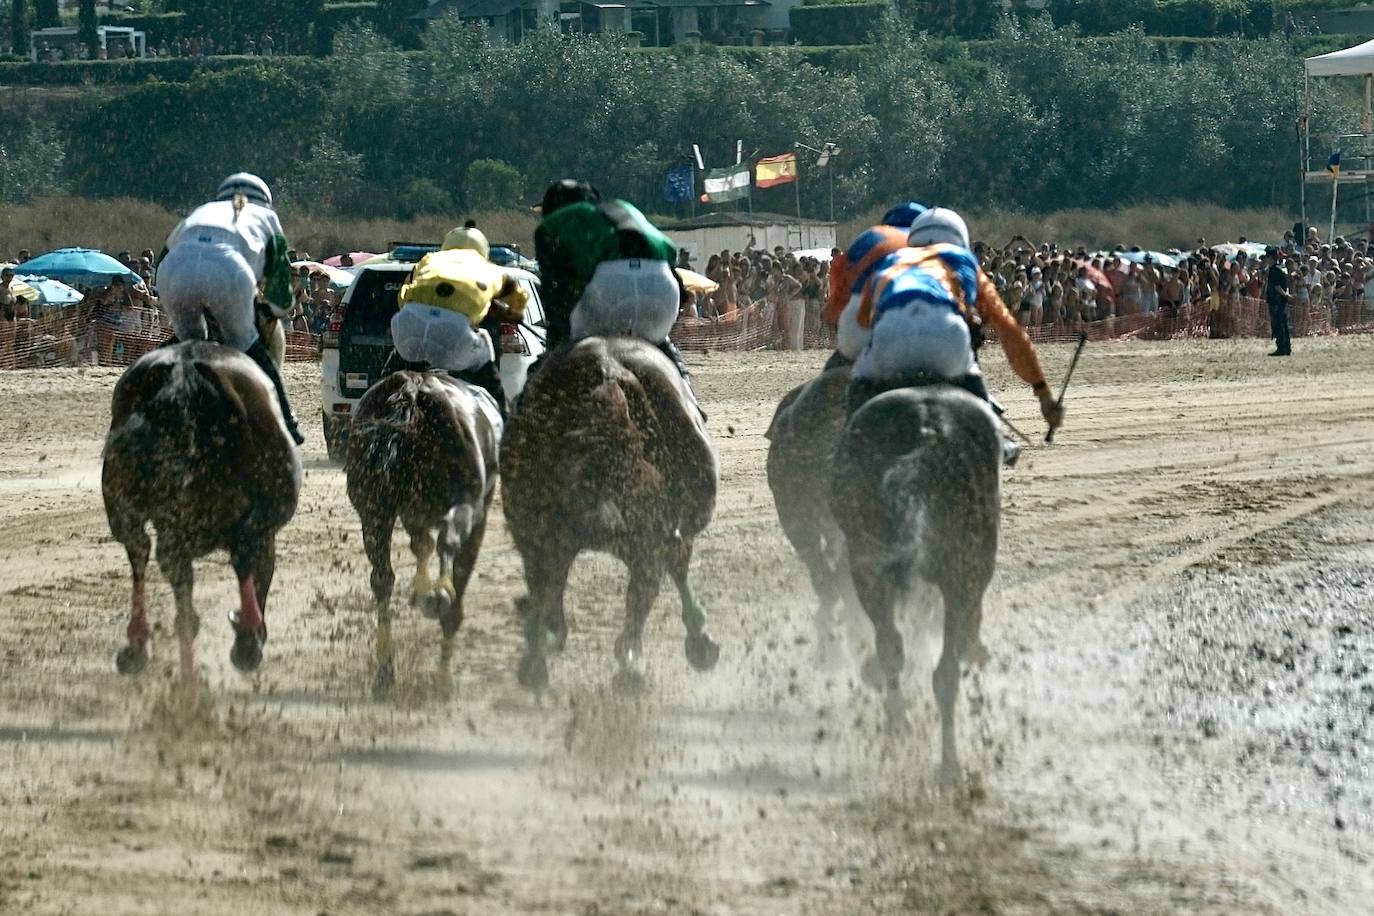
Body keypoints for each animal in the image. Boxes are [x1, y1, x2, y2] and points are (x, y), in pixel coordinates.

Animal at [104, 341, 303, 681]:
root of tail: (184, 373)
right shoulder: (266, 528)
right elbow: (260, 569)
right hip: (270, 508)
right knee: (244, 551)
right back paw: (247, 638)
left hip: (124, 504)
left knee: (141, 549)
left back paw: (138, 645)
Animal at [343, 370, 500, 694]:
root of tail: (412, 391)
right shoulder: (477, 519)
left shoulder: (411, 515)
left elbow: (421, 545)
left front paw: (420, 587)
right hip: (467, 505)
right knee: (449, 543)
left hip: (374, 512)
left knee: (382, 579)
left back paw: (385, 671)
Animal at [502, 339, 719, 694]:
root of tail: (609, 373)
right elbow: (677, 571)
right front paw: (699, 637)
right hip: (643, 541)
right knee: (639, 595)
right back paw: (630, 665)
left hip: (540, 536)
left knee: (550, 593)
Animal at [824, 384, 1000, 785]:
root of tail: (927, 433)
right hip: (964, 570)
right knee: (945, 670)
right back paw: (948, 765)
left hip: (870, 567)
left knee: (892, 648)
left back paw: (900, 726)